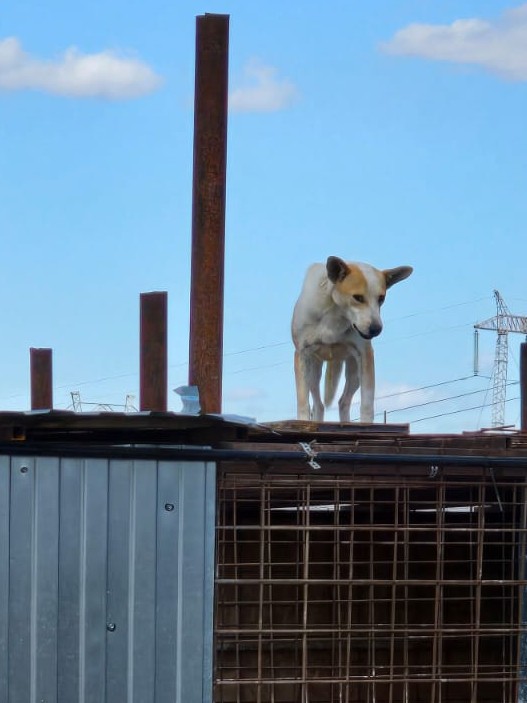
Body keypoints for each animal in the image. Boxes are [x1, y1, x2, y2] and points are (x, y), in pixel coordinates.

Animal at [291, 256, 413, 423]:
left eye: (381, 298)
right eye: (358, 297)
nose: (376, 329)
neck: (336, 313)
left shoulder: (365, 355)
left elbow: (367, 403)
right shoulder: (302, 354)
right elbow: (303, 403)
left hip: (354, 372)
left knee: (344, 401)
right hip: (313, 371)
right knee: (318, 404)